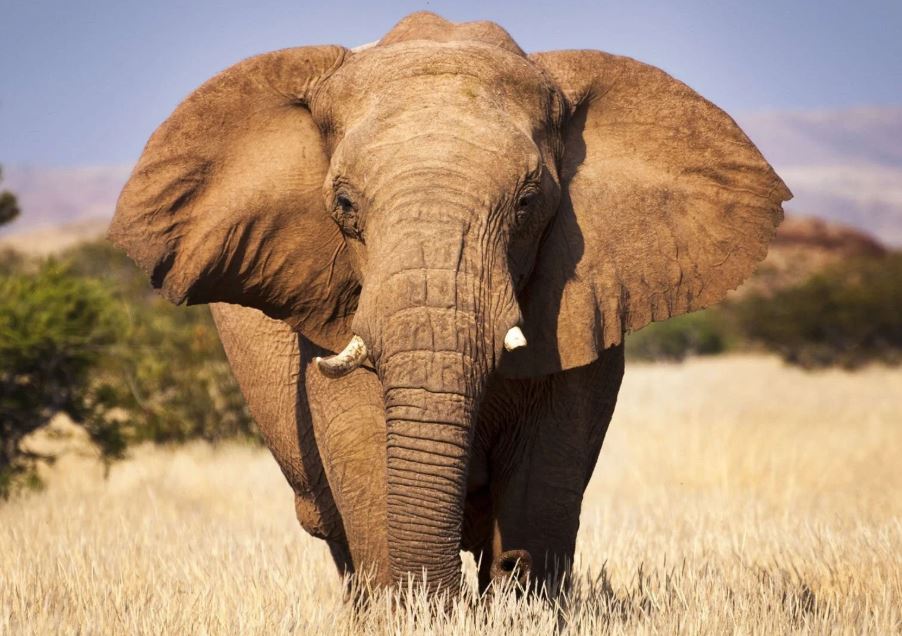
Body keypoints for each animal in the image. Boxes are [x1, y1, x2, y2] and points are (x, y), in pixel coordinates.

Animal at [107, 12, 790, 597]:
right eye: (344, 205)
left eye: (528, 202)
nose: (456, 590)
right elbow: (364, 450)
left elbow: (545, 475)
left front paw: (518, 593)